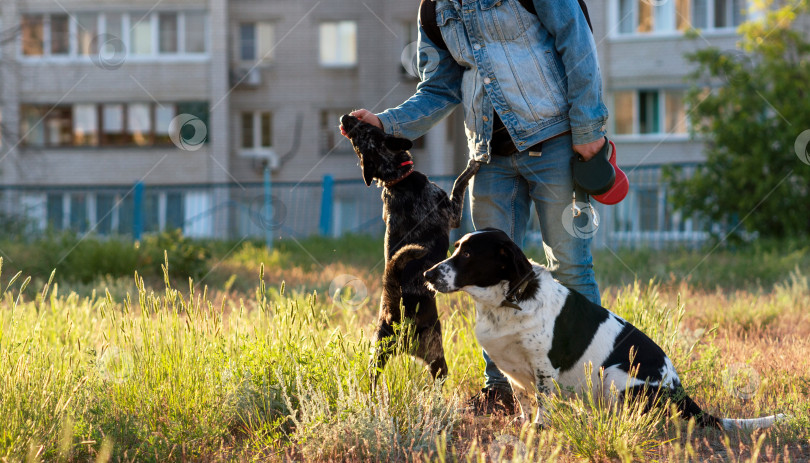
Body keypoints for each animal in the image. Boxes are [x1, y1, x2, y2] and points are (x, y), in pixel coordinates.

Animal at [336, 113, 476, 388]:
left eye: (361, 132)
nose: (345, 118)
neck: (396, 180)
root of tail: (394, 312)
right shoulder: (452, 212)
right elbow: (460, 181)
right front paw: (472, 165)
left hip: (377, 356)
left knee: (371, 380)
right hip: (437, 356)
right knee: (439, 379)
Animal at [422, 229, 784, 432]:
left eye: (469, 254)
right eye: (456, 248)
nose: (427, 273)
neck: (506, 303)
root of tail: (678, 390)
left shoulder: (543, 369)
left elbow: (542, 404)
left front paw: (539, 430)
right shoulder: (513, 372)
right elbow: (524, 404)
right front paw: (523, 426)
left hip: (613, 375)